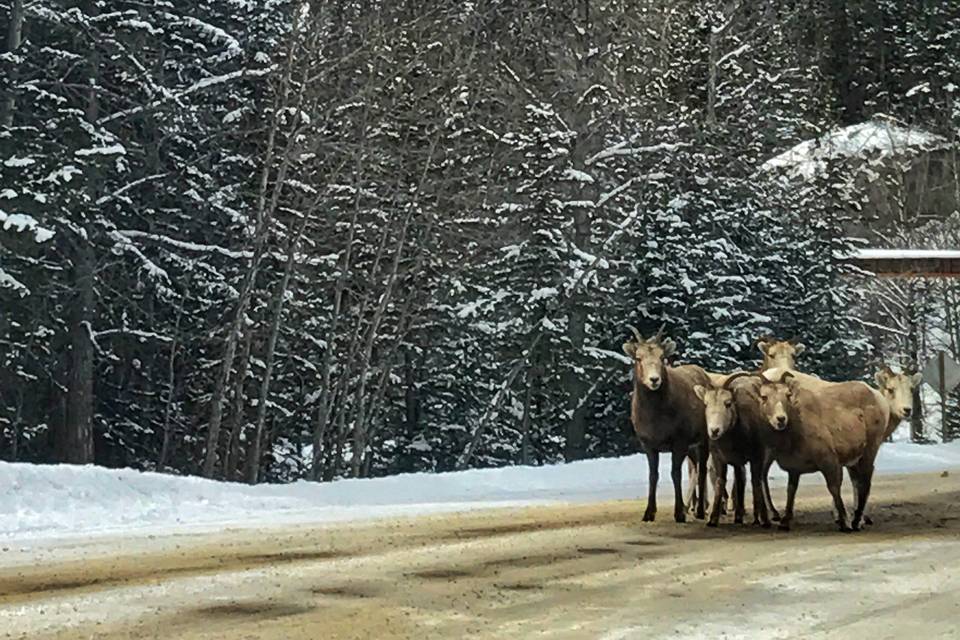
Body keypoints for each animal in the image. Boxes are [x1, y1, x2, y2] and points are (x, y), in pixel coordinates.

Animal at [624, 328, 712, 524]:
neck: (655, 418)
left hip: (703, 440)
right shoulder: (648, 445)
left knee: (702, 471)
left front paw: (679, 513)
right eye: (638, 358)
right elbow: (653, 476)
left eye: (662, 357)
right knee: (696, 469)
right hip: (691, 448)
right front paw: (648, 513)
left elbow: (675, 474)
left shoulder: (679, 442)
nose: (654, 379)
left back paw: (700, 511)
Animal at [688, 372, 772, 528]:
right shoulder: (720, 459)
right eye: (706, 404)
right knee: (740, 481)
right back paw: (738, 516)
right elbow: (721, 482)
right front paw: (713, 520)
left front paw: (765, 520)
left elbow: (756, 482)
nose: (714, 431)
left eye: (728, 403)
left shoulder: (756, 457)